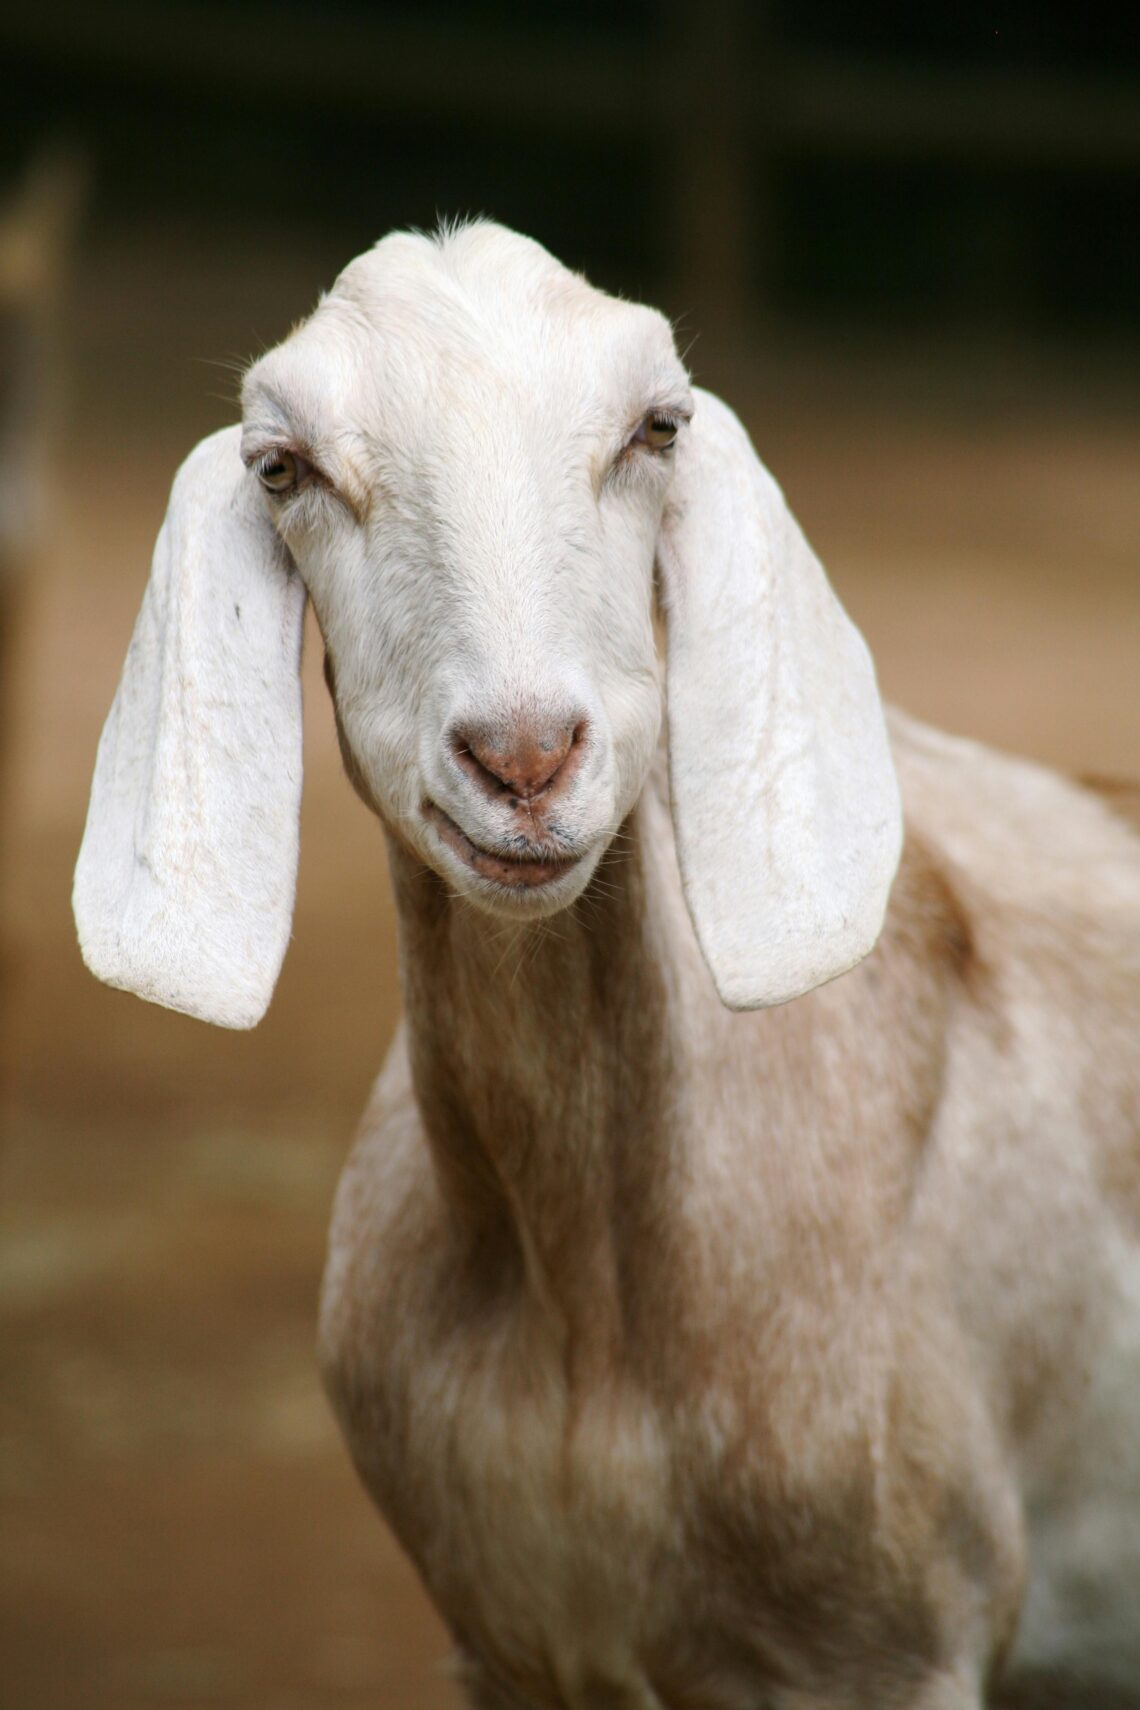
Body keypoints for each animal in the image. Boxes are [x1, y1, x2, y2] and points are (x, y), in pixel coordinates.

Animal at [74, 222, 1140, 1710]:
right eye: (283, 467)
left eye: (656, 428)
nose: (523, 758)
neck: (589, 1315)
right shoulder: (508, 1643)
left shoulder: (891, 1645)